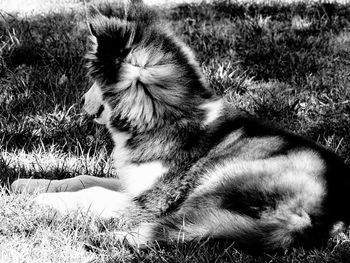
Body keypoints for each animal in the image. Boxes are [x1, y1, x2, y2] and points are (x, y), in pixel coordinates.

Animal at [10, 1, 350, 254]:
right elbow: (83, 178)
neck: (164, 117)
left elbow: (93, 191)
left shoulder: (152, 198)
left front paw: (39, 201)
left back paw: (111, 237)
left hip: (215, 181)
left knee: (171, 226)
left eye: (94, 81)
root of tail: (321, 215)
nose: (81, 101)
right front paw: (28, 185)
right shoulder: (136, 182)